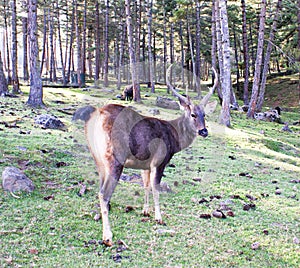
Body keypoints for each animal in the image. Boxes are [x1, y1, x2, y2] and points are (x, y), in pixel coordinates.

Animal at [84, 64, 218, 245]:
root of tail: (95, 118)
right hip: (115, 157)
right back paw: (107, 236)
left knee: (99, 189)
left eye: (205, 115)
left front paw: (145, 211)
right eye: (193, 114)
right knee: (104, 193)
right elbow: (155, 187)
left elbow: (146, 185)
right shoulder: (159, 161)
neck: (174, 138)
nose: (204, 131)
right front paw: (159, 217)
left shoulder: (145, 164)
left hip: (98, 159)